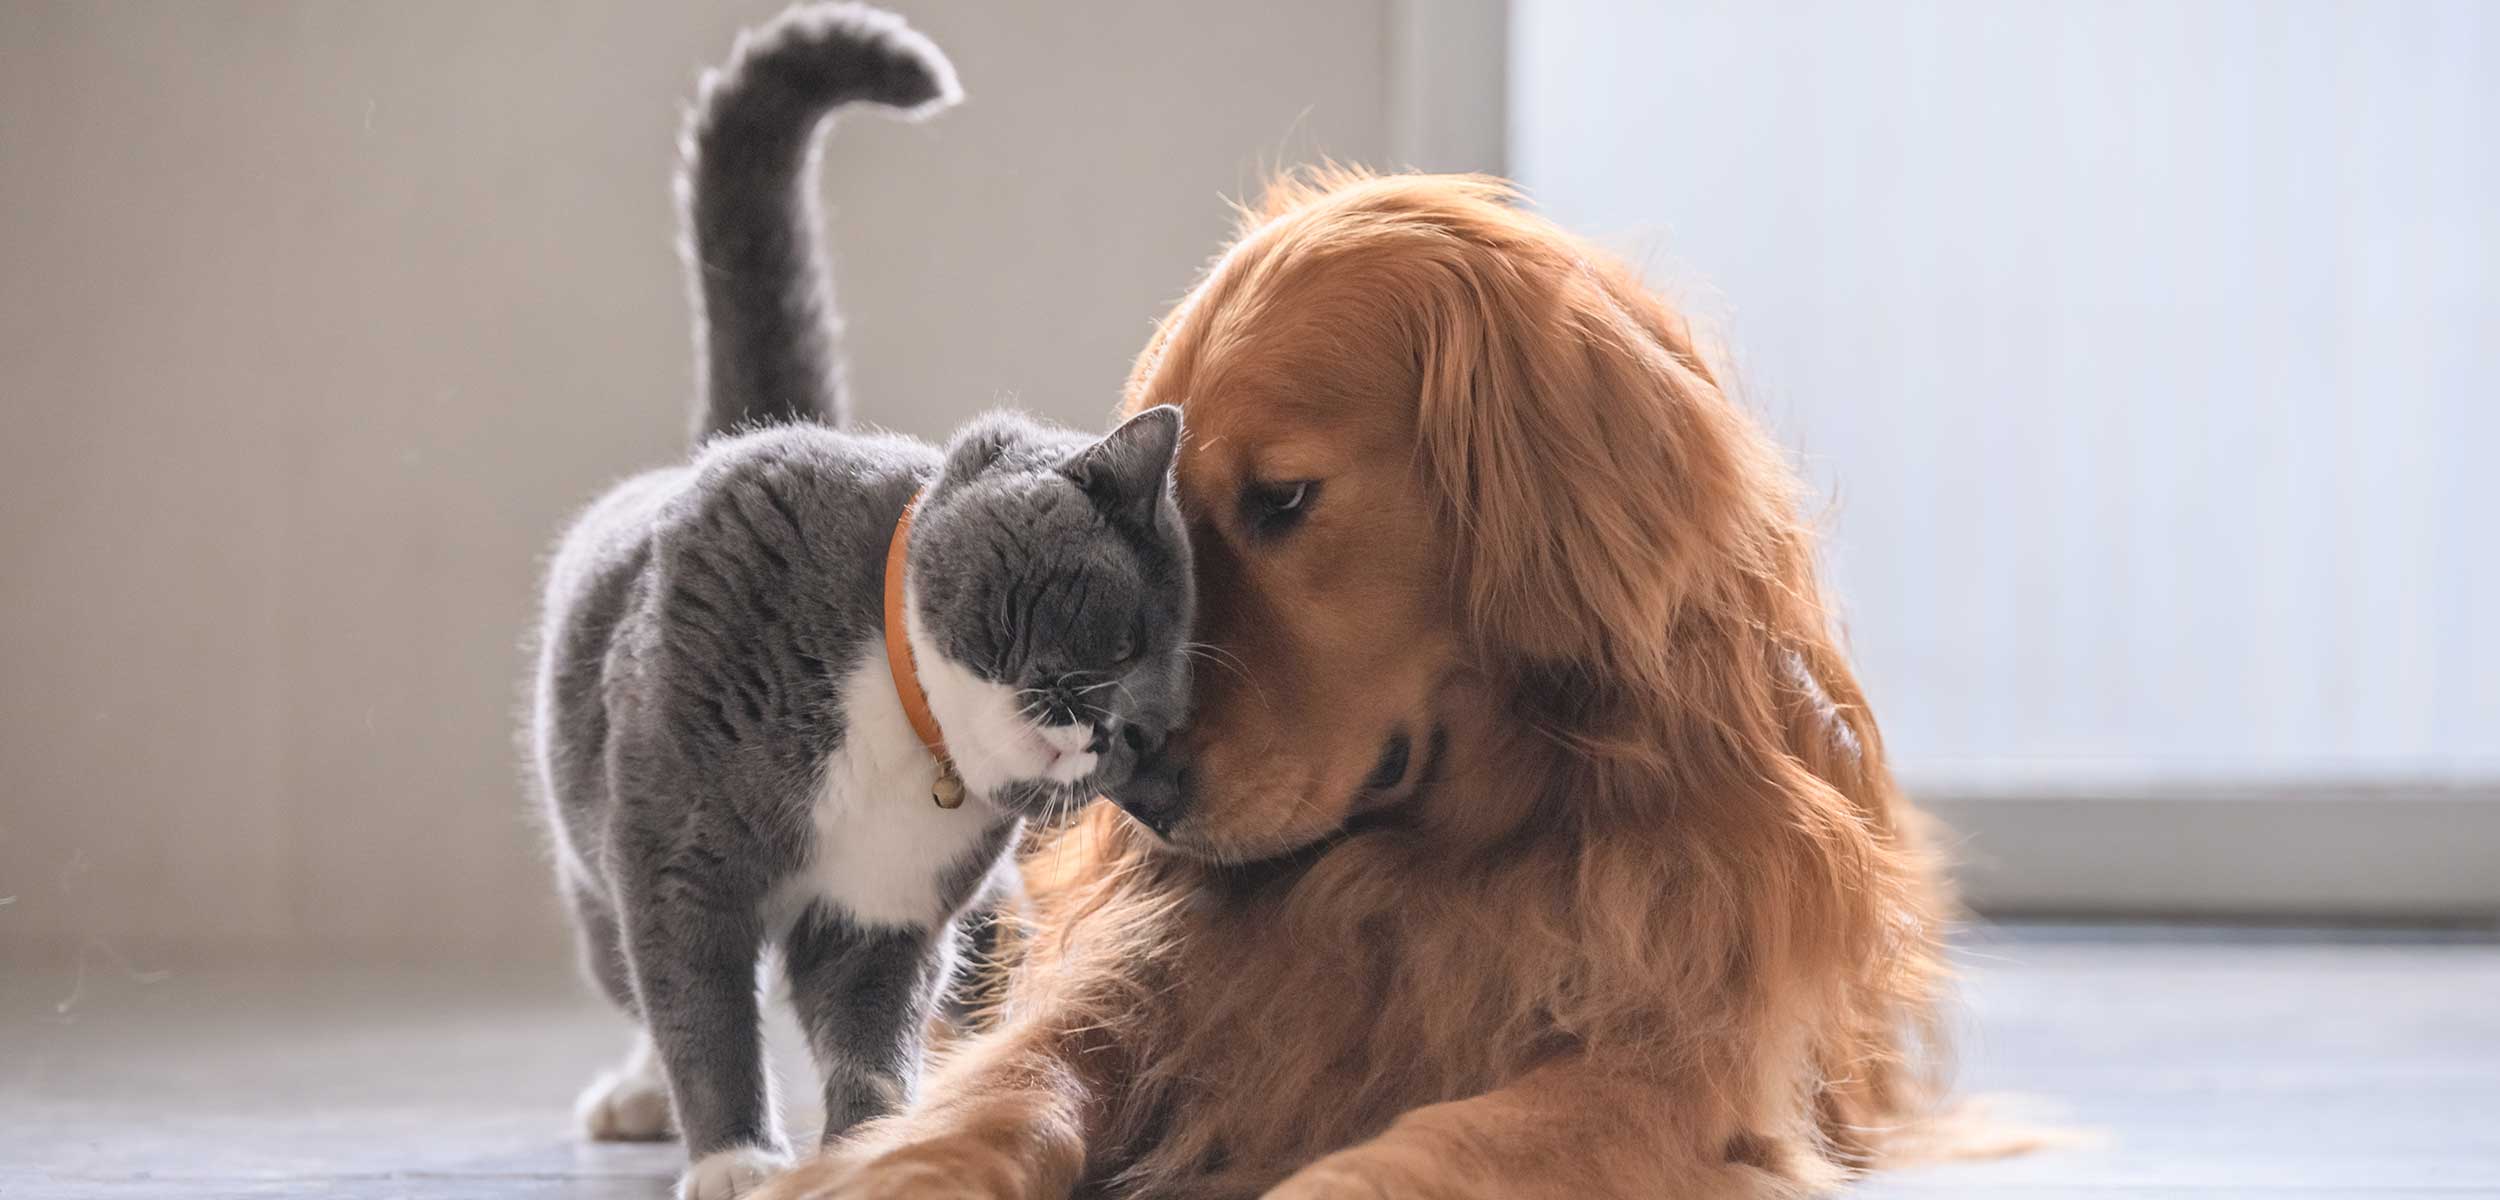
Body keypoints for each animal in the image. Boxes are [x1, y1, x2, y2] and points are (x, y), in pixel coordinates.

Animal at [522, 4, 1195, 1195]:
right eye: (1122, 640)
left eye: (1156, 728)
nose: (1116, 731)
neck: (900, 724)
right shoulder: (675, 858)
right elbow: (701, 1008)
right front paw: (737, 1155)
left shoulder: (888, 913)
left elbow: (871, 1035)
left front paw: (874, 1148)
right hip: (592, 857)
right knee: (634, 981)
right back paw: (639, 1096)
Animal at [760, 168, 1950, 1200]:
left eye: (1283, 499)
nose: (1133, 797)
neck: (1432, 860)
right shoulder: (1134, 988)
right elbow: (1006, 1093)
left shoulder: (1671, 1065)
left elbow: (1436, 1143)